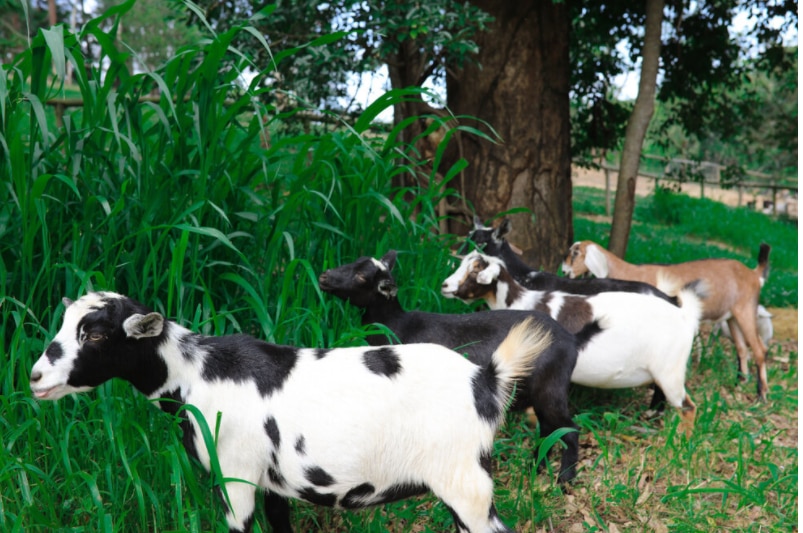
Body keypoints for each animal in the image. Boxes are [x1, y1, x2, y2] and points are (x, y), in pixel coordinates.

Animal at [29, 290, 552, 532]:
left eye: (97, 334)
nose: (35, 378)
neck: (196, 372)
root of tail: (486, 378)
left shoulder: (235, 477)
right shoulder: (273, 483)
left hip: (465, 480)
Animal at [318, 250, 580, 482]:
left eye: (362, 276)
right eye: (354, 262)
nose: (323, 277)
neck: (397, 324)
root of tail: (571, 341)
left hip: (551, 389)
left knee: (570, 429)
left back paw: (564, 478)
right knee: (548, 430)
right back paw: (535, 467)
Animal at [564, 240, 768, 400]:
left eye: (575, 253)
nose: (565, 271)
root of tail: (754, 274)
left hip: (746, 310)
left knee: (759, 349)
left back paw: (762, 394)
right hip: (732, 317)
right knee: (742, 348)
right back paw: (740, 384)